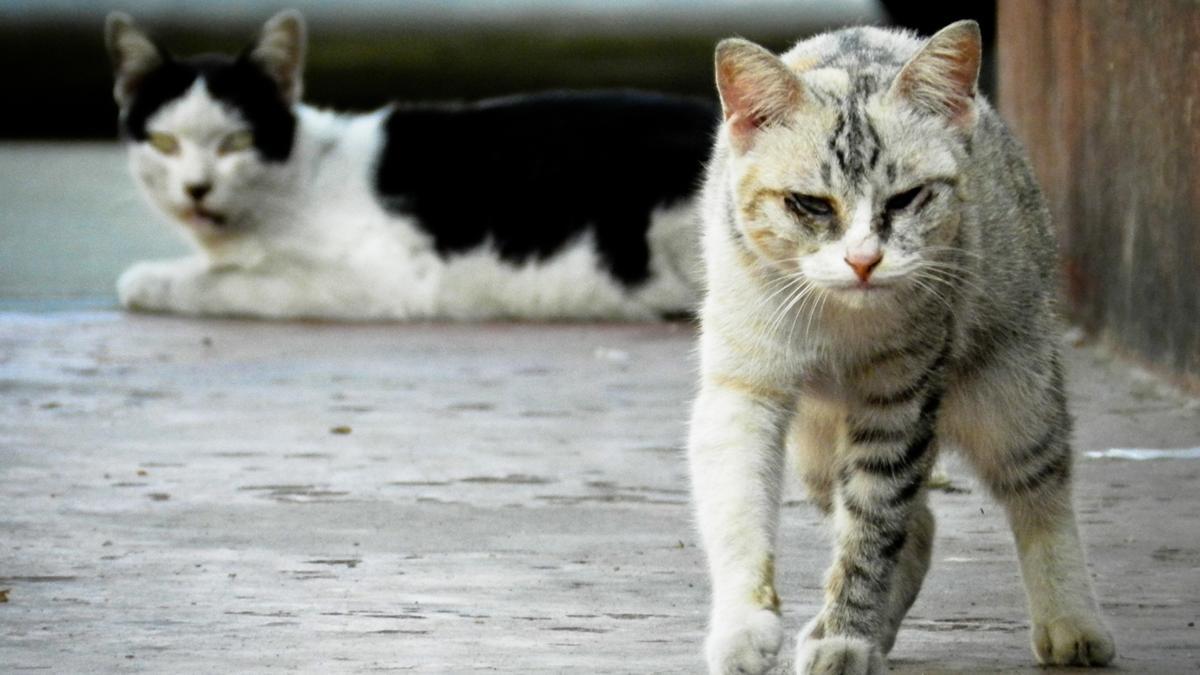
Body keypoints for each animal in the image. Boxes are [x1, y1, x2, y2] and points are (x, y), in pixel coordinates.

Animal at [691, 18, 1118, 667]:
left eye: (906, 199)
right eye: (810, 205)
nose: (864, 260)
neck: (838, 320)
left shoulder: (898, 401)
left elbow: (872, 530)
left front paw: (846, 637)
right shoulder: (743, 387)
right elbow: (738, 506)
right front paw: (744, 628)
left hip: (1013, 390)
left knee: (1038, 489)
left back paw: (1071, 622)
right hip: (819, 452)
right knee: (919, 529)